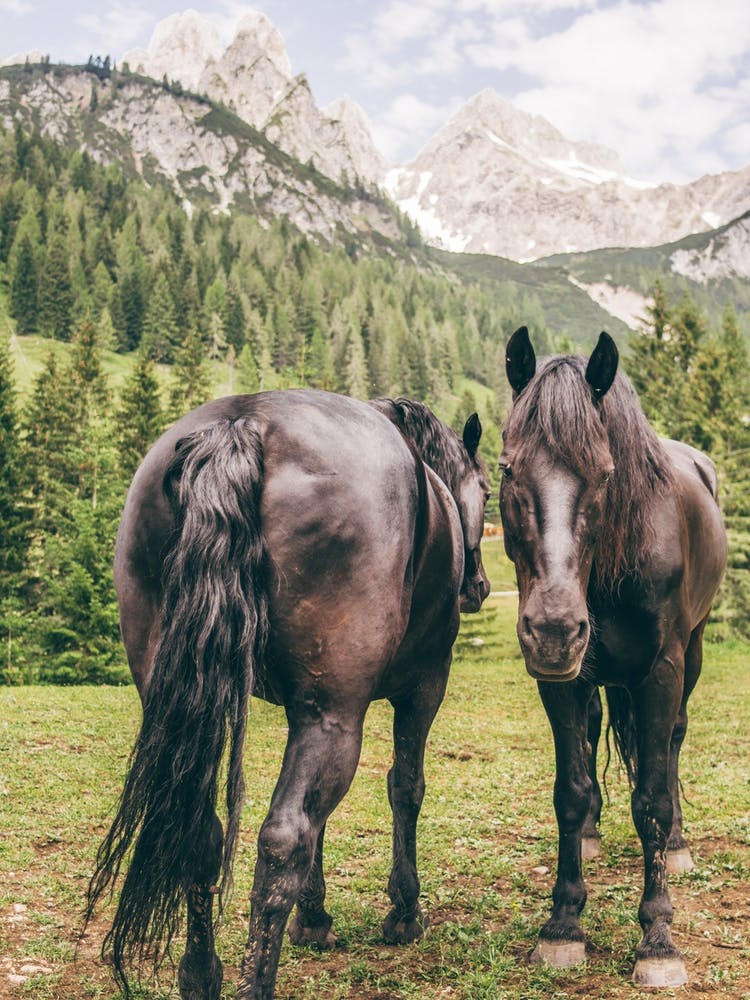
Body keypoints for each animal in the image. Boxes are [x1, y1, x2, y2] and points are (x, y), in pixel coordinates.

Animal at [84, 388, 491, 1000]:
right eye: (488, 491)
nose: (479, 586)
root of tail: (244, 424)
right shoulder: (421, 688)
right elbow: (405, 788)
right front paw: (403, 911)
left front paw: (313, 917)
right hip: (336, 714)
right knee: (284, 837)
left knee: (204, 834)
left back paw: (201, 974)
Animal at [498, 327, 727, 987]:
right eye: (506, 467)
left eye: (604, 473)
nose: (553, 629)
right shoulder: (562, 681)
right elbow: (570, 791)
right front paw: (563, 923)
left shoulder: (661, 673)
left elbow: (651, 800)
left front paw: (657, 938)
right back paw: (594, 835)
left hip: (690, 654)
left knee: (672, 743)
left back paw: (677, 846)